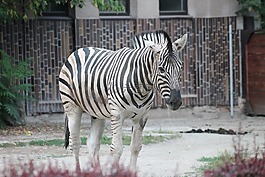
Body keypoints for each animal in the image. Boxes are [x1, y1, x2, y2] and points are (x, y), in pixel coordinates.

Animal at [58, 30, 187, 170]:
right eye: (161, 69)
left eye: (180, 67)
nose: (176, 102)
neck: (140, 86)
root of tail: (80, 50)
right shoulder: (117, 115)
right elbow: (117, 149)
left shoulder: (142, 117)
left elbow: (136, 147)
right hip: (72, 107)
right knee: (75, 143)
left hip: (97, 113)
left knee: (92, 142)